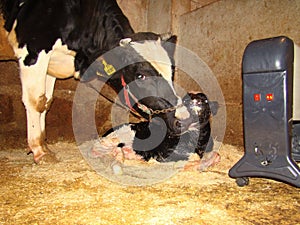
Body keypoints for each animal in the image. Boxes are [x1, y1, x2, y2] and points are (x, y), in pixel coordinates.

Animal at [0, 0, 191, 162]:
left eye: (172, 71)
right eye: (140, 76)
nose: (183, 119)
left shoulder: (52, 63)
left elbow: (46, 102)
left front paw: (44, 145)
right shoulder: (33, 50)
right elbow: (36, 102)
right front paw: (39, 150)